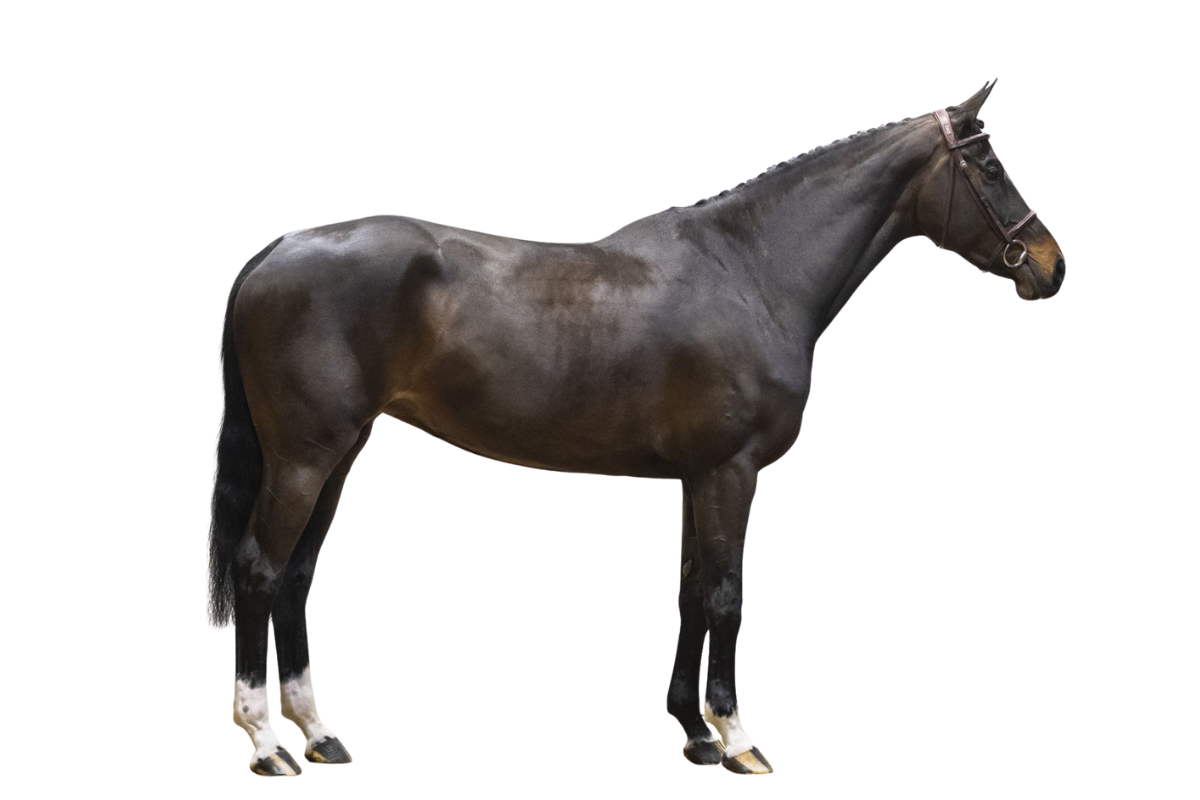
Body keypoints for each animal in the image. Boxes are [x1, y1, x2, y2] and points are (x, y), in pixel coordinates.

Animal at [207, 79, 1065, 777]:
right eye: (989, 165)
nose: (1051, 265)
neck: (751, 270)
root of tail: (277, 251)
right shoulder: (730, 470)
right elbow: (726, 592)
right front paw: (738, 738)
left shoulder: (697, 473)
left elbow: (690, 586)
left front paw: (695, 733)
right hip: (304, 458)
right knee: (259, 568)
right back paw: (268, 743)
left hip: (340, 452)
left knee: (297, 573)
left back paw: (319, 733)